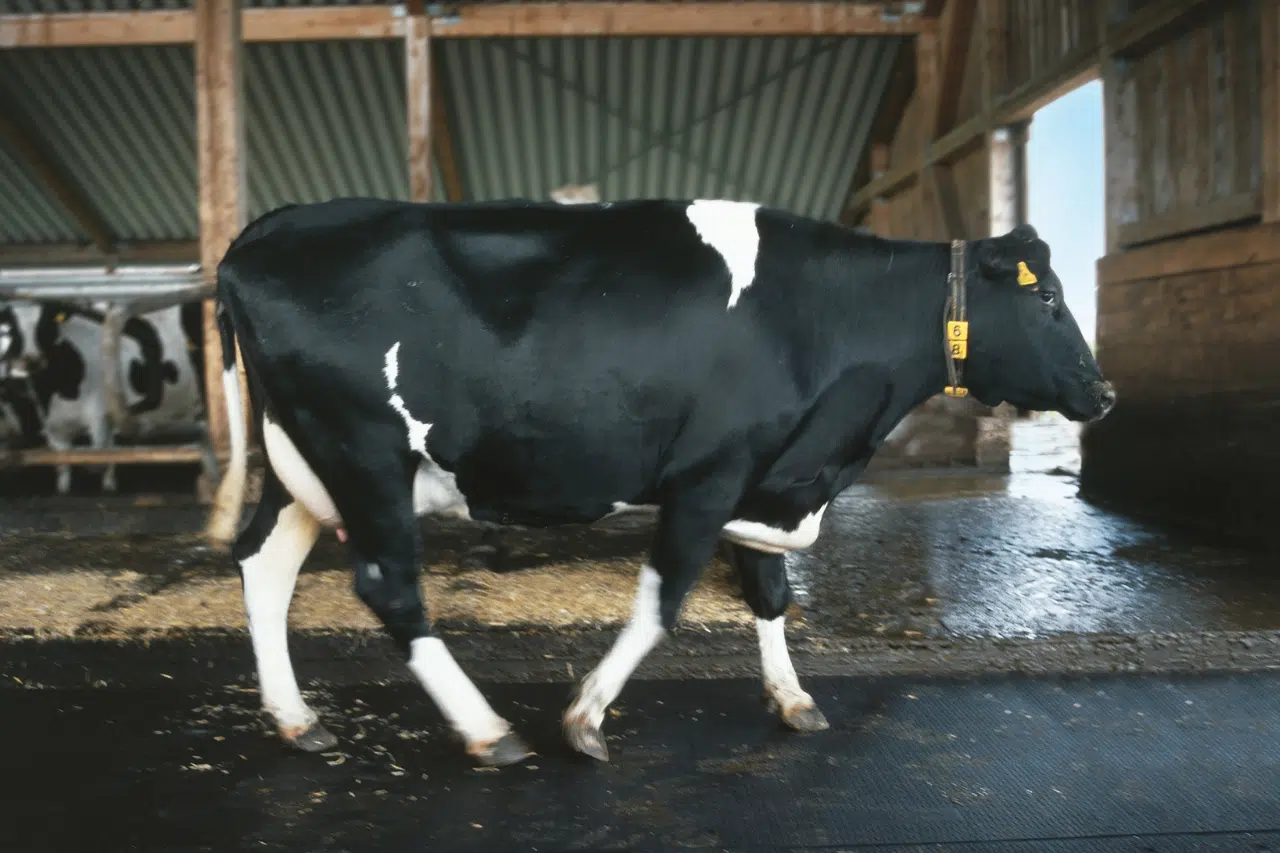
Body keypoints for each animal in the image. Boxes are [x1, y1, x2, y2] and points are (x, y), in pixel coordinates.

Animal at [0, 299, 205, 493]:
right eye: (12, 328)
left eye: (45, 323)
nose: (30, 360)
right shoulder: (53, 426)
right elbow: (63, 465)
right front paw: (64, 490)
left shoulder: (101, 416)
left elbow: (103, 454)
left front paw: (109, 488)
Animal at [202, 196, 1114, 768]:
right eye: (1050, 298)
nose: (1103, 393)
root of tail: (263, 232)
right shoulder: (710, 474)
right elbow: (662, 600)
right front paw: (585, 718)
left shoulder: (774, 470)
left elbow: (771, 593)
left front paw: (792, 698)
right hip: (364, 452)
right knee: (389, 586)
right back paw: (487, 729)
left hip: (302, 464)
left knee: (263, 563)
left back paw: (297, 718)